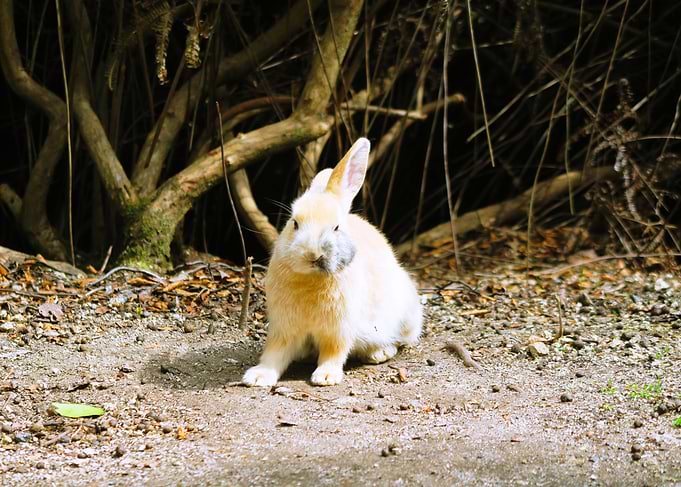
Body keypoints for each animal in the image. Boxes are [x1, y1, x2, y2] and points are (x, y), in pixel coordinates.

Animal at [242, 137, 422, 387]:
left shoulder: (337, 329)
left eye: (336, 228)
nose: (312, 254)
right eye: (294, 223)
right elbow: (274, 354)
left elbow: (333, 351)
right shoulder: (283, 328)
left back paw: (379, 353)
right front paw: (258, 376)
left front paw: (326, 377)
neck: (311, 279)